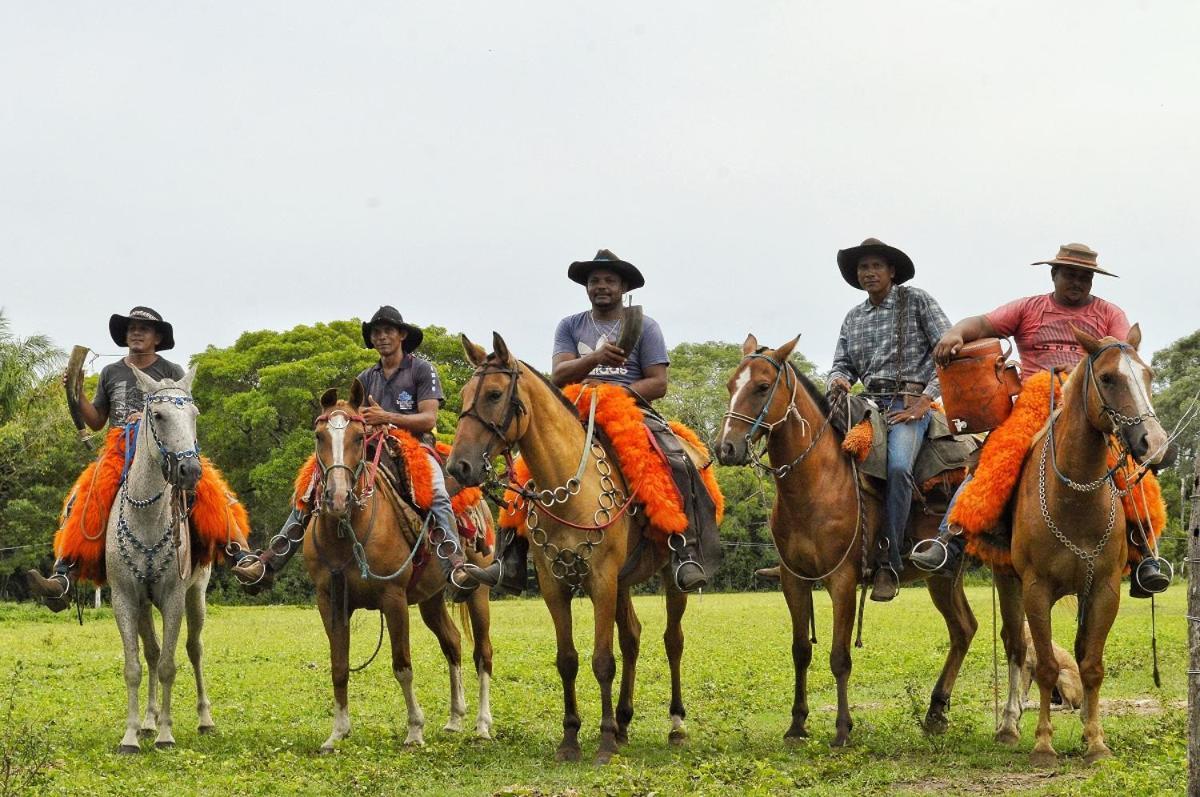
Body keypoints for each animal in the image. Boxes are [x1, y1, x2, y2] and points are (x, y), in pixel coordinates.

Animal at [105, 367, 216, 753]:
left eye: (194, 414)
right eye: (158, 415)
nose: (190, 471)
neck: (148, 520)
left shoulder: (173, 597)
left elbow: (169, 664)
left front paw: (166, 735)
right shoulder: (124, 598)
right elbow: (134, 666)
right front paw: (130, 735)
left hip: (197, 594)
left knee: (195, 649)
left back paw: (204, 719)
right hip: (142, 605)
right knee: (151, 652)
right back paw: (148, 722)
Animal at [302, 379, 494, 753]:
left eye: (359, 437)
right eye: (319, 436)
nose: (337, 498)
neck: (348, 532)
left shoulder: (393, 598)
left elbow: (402, 664)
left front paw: (414, 730)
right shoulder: (329, 599)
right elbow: (339, 665)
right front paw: (337, 732)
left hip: (478, 590)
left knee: (483, 653)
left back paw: (481, 725)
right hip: (431, 599)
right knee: (452, 642)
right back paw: (454, 719)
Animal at [446, 333, 700, 763]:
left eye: (495, 394)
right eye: (464, 395)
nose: (458, 467)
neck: (567, 489)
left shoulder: (601, 580)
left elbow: (602, 660)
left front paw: (605, 742)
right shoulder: (555, 585)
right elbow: (568, 660)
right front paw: (571, 738)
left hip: (667, 577)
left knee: (673, 641)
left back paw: (676, 724)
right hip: (623, 582)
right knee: (632, 636)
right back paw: (625, 721)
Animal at [715, 336, 979, 748]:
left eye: (761, 386)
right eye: (730, 385)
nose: (725, 448)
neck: (815, 485)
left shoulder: (842, 581)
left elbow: (839, 657)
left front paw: (842, 729)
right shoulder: (793, 580)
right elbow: (800, 651)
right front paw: (797, 725)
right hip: (943, 576)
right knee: (964, 629)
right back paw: (936, 712)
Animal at [993, 326, 1171, 768]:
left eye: (1148, 375)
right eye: (1108, 378)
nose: (1157, 445)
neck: (1075, 498)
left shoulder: (1104, 589)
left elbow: (1091, 665)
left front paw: (1095, 741)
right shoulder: (1036, 590)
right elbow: (1045, 668)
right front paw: (1043, 744)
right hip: (1007, 581)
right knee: (1016, 647)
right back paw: (1009, 726)